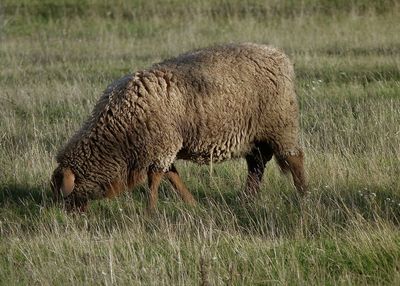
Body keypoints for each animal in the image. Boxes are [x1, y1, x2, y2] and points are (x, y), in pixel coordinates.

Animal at [50, 43, 306, 212]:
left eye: (66, 193)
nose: (68, 217)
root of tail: (278, 55)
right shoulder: (163, 149)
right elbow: (172, 176)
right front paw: (192, 204)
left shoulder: (162, 146)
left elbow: (155, 179)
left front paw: (151, 212)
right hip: (254, 136)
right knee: (256, 165)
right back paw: (247, 199)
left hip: (281, 124)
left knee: (294, 159)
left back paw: (303, 195)